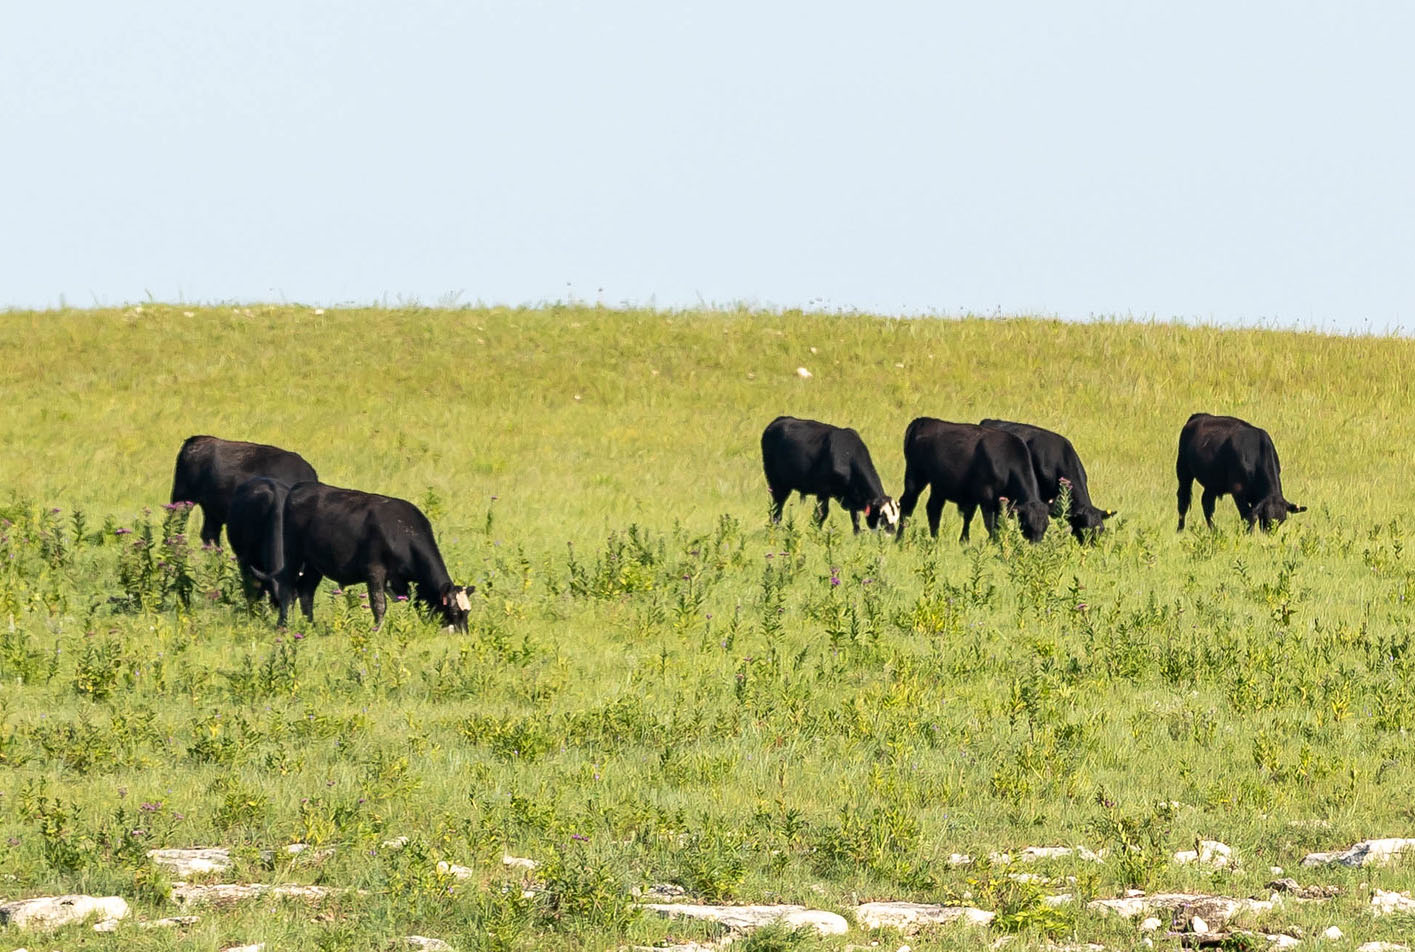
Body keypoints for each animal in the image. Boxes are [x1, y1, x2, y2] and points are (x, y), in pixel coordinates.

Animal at [270, 482, 472, 631]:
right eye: (454, 612)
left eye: (467, 612)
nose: (462, 636)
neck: (401, 530)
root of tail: (302, 486)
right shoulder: (374, 571)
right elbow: (379, 605)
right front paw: (377, 630)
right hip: (293, 554)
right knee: (287, 586)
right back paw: (283, 625)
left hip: (314, 563)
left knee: (306, 591)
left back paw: (310, 625)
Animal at [760, 416, 899, 533]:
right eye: (882, 517)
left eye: (896, 517)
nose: (891, 532)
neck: (847, 455)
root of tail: (778, 421)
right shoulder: (823, 491)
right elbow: (822, 513)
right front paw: (816, 532)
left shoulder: (852, 495)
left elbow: (855, 517)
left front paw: (857, 534)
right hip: (777, 482)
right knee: (777, 505)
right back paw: (776, 526)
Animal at [897, 418, 1050, 543]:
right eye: (1027, 524)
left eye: (1046, 526)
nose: (1036, 545)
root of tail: (922, 421)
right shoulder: (985, 496)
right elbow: (989, 522)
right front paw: (993, 542)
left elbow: (973, 518)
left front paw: (964, 540)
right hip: (915, 476)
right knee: (907, 504)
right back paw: (899, 539)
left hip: (938, 485)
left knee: (933, 509)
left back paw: (935, 538)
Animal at [1176, 413, 1306, 532]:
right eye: (1266, 518)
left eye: (1282, 520)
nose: (1270, 535)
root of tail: (1198, 416)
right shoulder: (1238, 490)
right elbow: (1247, 516)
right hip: (1183, 470)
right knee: (1183, 499)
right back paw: (1180, 529)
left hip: (1212, 482)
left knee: (1207, 503)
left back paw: (1214, 530)